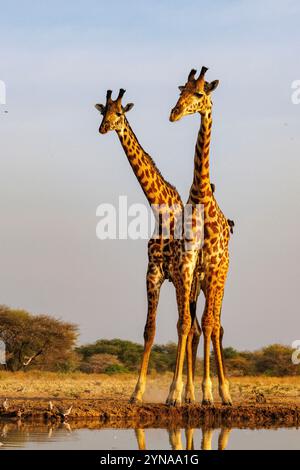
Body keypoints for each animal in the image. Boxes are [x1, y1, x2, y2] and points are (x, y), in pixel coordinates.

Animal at [94, 88, 202, 404]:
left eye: (119, 113)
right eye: (104, 111)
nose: (104, 128)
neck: (161, 211)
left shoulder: (177, 274)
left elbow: (180, 326)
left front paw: (174, 393)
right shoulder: (153, 272)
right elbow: (149, 330)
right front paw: (136, 392)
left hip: (194, 283)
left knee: (192, 328)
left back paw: (188, 393)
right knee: (193, 328)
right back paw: (188, 393)